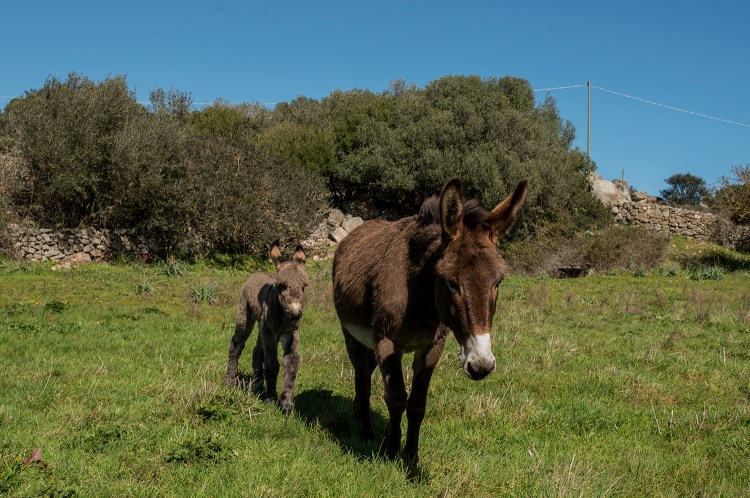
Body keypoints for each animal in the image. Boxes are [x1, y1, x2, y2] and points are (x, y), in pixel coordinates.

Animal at [224, 240, 308, 416]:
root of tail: (256, 273)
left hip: (262, 327)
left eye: (304, 287)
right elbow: (271, 364)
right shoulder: (270, 334)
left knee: (257, 352)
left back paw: (257, 387)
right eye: (282, 286)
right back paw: (229, 382)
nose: (296, 315)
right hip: (246, 317)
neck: (283, 316)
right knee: (236, 345)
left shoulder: (290, 334)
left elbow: (292, 364)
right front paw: (270, 399)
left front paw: (287, 405)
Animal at [332, 178, 527, 464]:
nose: (481, 365)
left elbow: (416, 404)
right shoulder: (387, 343)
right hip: (352, 335)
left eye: (498, 282)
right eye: (451, 283)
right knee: (363, 380)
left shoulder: (432, 347)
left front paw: (411, 455)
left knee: (366, 373)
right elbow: (396, 397)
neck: (422, 298)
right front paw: (389, 450)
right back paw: (366, 431)